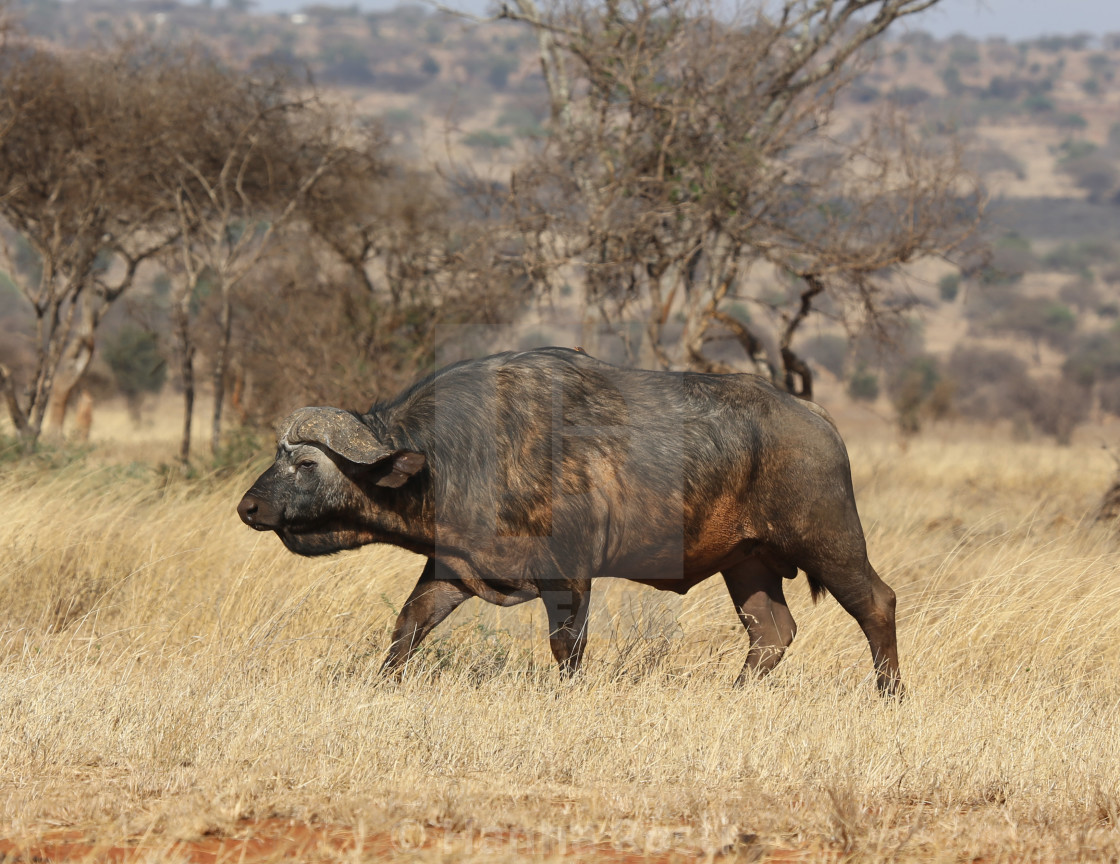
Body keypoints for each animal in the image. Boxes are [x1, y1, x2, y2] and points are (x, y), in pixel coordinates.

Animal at [238, 345, 900, 694]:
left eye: (304, 463)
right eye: (277, 456)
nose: (248, 507)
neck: (454, 457)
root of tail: (813, 416)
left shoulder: (570, 577)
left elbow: (566, 648)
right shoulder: (453, 570)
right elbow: (407, 627)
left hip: (830, 542)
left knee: (877, 603)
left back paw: (887, 694)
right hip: (749, 564)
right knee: (771, 633)